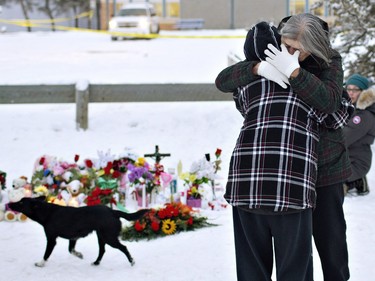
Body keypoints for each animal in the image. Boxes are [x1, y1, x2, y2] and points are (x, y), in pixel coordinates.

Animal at [8, 196, 149, 266]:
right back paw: (96, 263)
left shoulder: (52, 239)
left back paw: (132, 261)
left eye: (21, 203)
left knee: (124, 247)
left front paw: (40, 263)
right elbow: (71, 250)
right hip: (101, 236)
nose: (9, 204)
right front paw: (79, 255)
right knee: (102, 250)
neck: (48, 213)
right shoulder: (73, 238)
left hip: (109, 237)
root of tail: (113, 211)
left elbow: (46, 254)